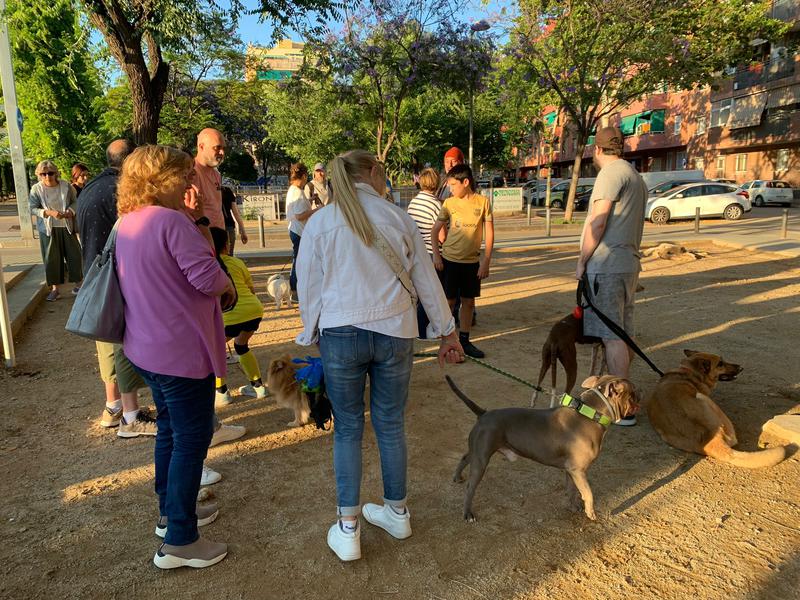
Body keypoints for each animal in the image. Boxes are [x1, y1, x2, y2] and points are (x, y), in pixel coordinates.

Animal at [446, 372, 640, 524]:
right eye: (633, 392)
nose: (640, 397)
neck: (591, 414)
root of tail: (484, 413)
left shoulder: (572, 471)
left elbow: (572, 491)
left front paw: (574, 507)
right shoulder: (579, 471)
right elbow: (588, 493)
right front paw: (591, 513)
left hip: (477, 451)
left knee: (464, 457)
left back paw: (457, 477)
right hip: (482, 459)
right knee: (471, 487)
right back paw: (468, 514)